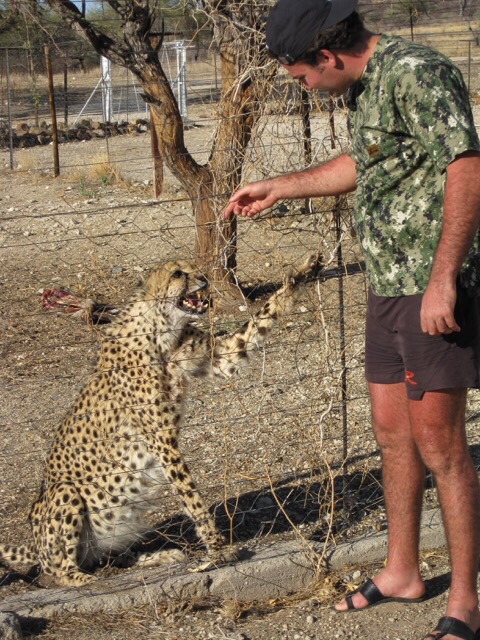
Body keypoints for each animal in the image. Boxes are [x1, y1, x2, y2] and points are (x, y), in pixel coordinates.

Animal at [0, 255, 318, 584]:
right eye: (178, 274)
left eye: (193, 269)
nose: (204, 278)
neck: (161, 329)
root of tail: (34, 546)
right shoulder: (161, 438)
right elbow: (191, 497)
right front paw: (218, 550)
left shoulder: (220, 359)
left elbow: (258, 321)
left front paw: (300, 276)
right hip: (63, 493)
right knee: (59, 571)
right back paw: (84, 578)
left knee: (115, 558)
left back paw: (155, 557)